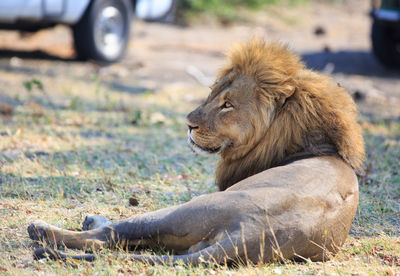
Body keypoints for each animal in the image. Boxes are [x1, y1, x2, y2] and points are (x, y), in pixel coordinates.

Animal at [28, 39, 366, 266]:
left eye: (227, 104)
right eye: (212, 93)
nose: (188, 124)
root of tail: (251, 233)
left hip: (187, 210)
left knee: (110, 234)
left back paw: (45, 229)